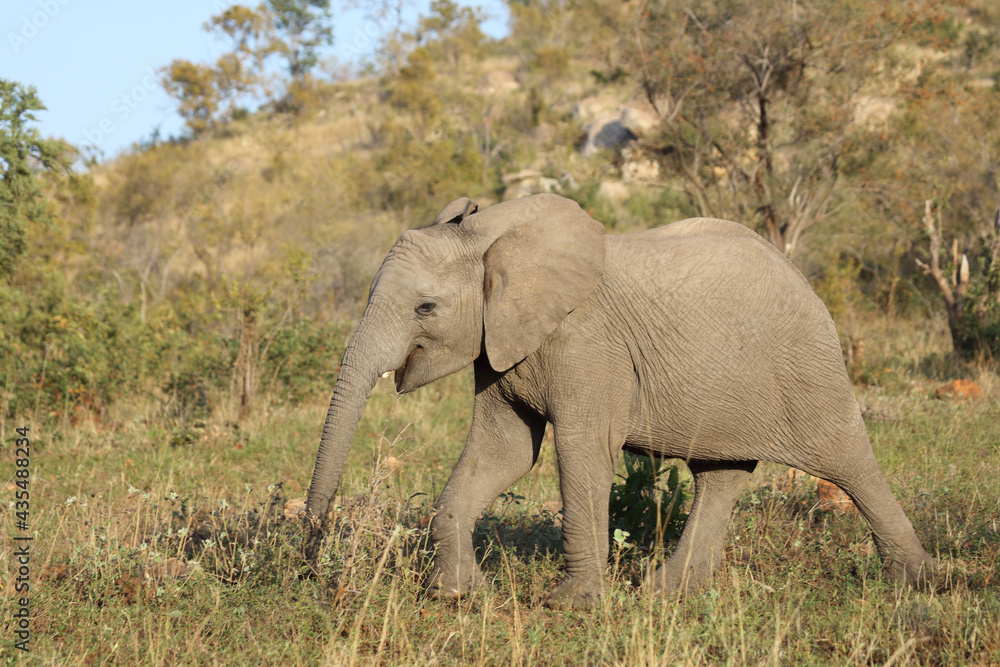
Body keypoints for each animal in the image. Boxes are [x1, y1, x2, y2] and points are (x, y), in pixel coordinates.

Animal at [303, 193, 933, 609]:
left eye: (425, 308)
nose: (309, 566)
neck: (492, 236)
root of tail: (801, 275)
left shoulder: (587, 343)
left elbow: (583, 453)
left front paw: (569, 607)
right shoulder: (500, 343)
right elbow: (504, 452)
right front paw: (457, 595)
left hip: (807, 366)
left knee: (847, 460)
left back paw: (918, 584)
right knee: (721, 474)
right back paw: (666, 594)